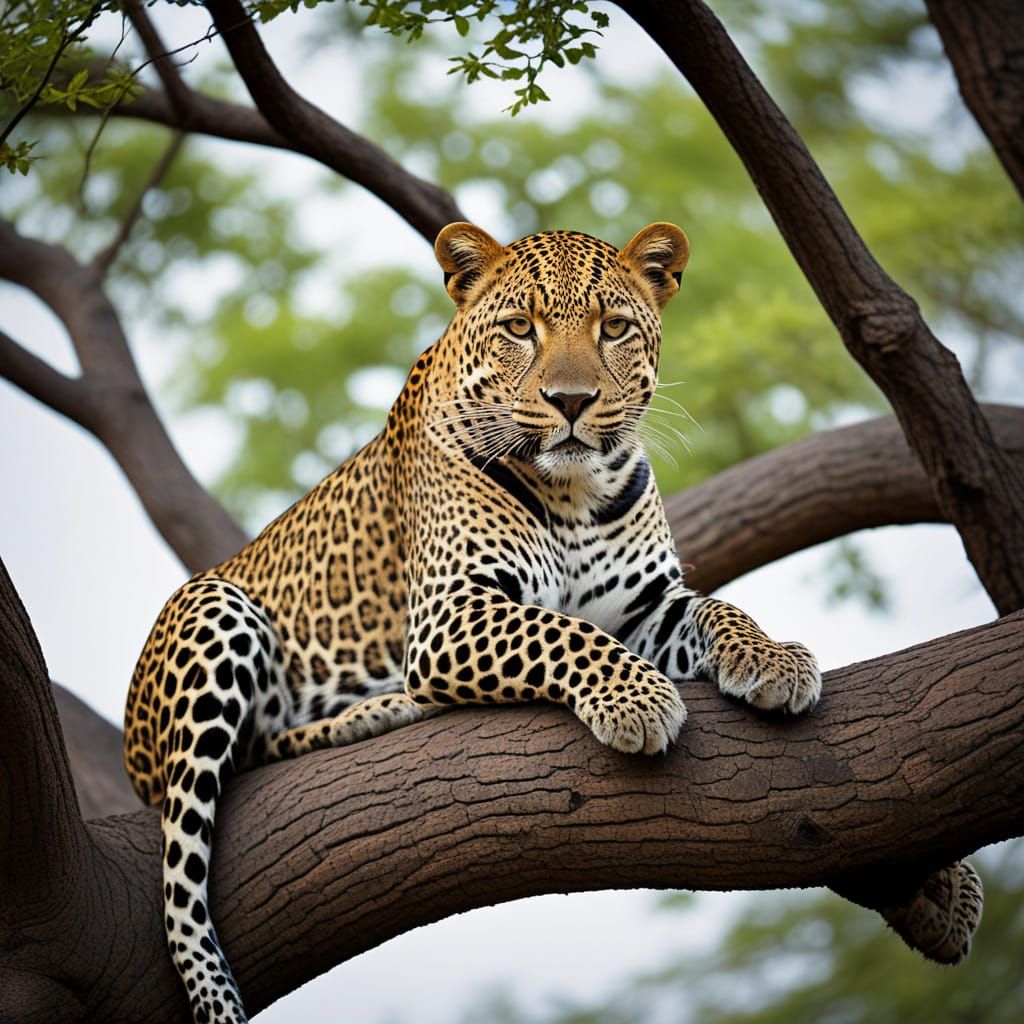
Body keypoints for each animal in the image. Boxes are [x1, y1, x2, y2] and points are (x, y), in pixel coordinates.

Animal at [124, 221, 982, 1024]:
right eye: (519, 328)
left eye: (614, 327)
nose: (572, 402)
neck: (574, 491)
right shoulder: (451, 614)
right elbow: (560, 631)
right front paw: (639, 701)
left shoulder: (649, 606)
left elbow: (717, 606)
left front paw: (772, 659)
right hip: (213, 615)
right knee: (198, 842)